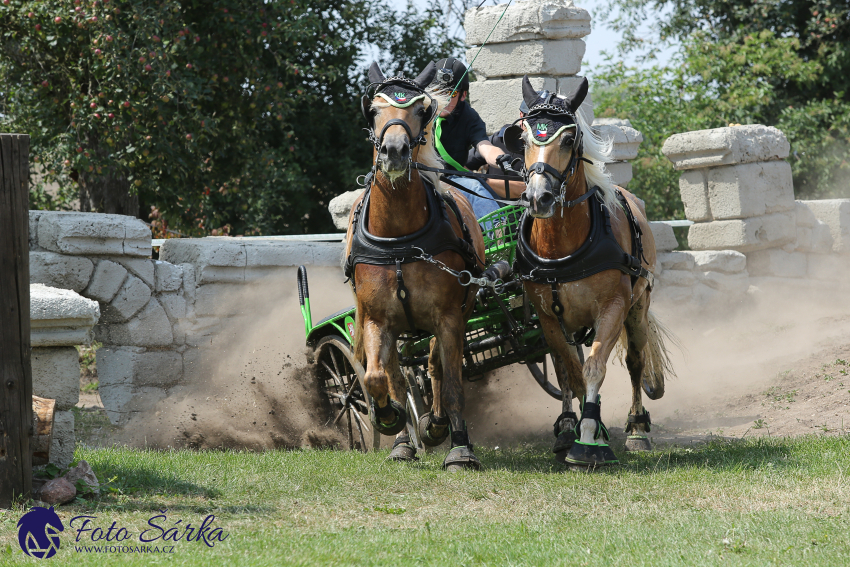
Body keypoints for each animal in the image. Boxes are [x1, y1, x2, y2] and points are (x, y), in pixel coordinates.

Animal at [340, 61, 484, 470]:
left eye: (422, 111)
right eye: (374, 110)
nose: (394, 151)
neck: (400, 239)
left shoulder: (449, 317)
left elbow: (451, 384)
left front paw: (457, 446)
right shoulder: (376, 319)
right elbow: (378, 378)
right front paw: (390, 420)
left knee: (436, 367)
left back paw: (436, 426)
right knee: (396, 376)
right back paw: (403, 440)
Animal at [504, 75, 676, 468]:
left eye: (569, 139)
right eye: (524, 139)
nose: (539, 198)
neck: (563, 247)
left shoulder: (612, 308)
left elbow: (595, 367)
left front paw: (590, 439)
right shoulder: (548, 319)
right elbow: (572, 373)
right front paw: (582, 429)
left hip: (638, 305)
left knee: (635, 361)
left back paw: (637, 428)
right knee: (564, 371)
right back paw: (567, 425)